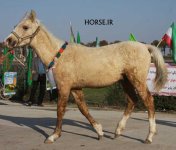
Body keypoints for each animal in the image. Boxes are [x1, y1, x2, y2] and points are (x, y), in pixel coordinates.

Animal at [3, 10, 167, 144]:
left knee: (148, 101)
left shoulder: (64, 87)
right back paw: (117, 131)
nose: (8, 41)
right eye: (17, 25)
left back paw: (149, 137)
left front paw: (53, 136)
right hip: (125, 81)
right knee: (132, 101)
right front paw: (99, 131)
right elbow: (83, 109)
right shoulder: (76, 88)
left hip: (137, 80)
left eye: (25, 27)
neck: (59, 55)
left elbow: (60, 110)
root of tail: (145, 47)